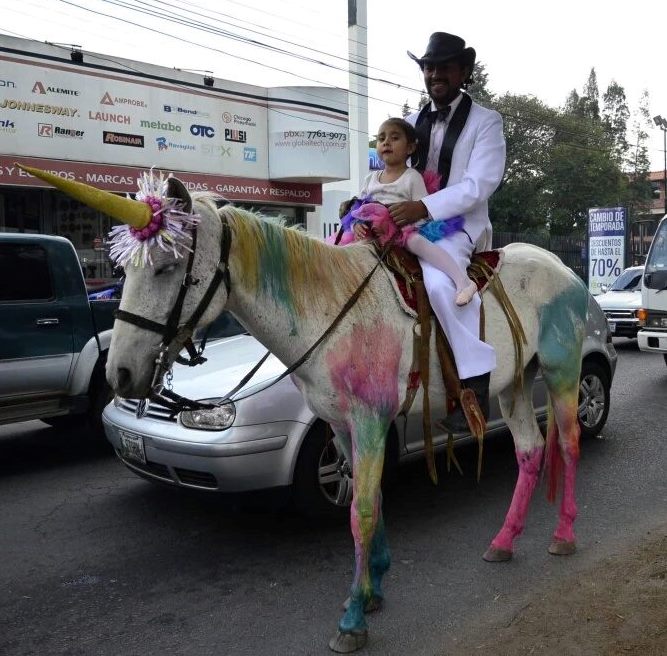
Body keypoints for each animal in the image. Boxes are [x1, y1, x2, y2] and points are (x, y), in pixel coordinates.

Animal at [20, 165, 592, 652]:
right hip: (512, 386)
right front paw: (372, 588)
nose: (119, 374)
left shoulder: (369, 420)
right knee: (529, 451)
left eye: (165, 268)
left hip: (563, 377)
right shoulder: (341, 427)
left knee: (567, 444)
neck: (331, 307)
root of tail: (563, 268)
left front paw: (353, 618)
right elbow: (368, 498)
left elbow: (362, 512)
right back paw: (504, 539)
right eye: (123, 269)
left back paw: (564, 536)